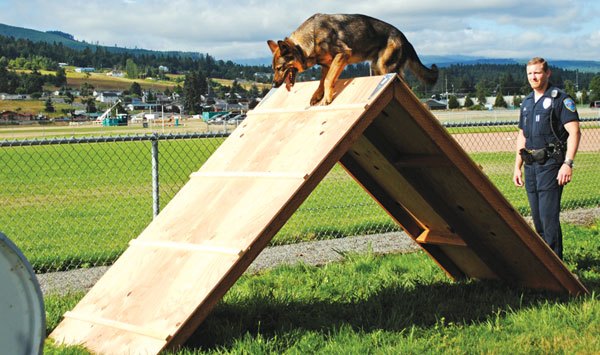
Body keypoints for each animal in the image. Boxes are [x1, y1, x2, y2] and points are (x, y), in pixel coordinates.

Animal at [270, 13, 438, 105]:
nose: (274, 85)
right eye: (273, 69)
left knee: (407, 87)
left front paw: (326, 98)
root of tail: (405, 39)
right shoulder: (327, 65)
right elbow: (322, 81)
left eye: (279, 68)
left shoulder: (342, 54)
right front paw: (317, 96)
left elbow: (328, 80)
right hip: (377, 68)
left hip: (386, 67)